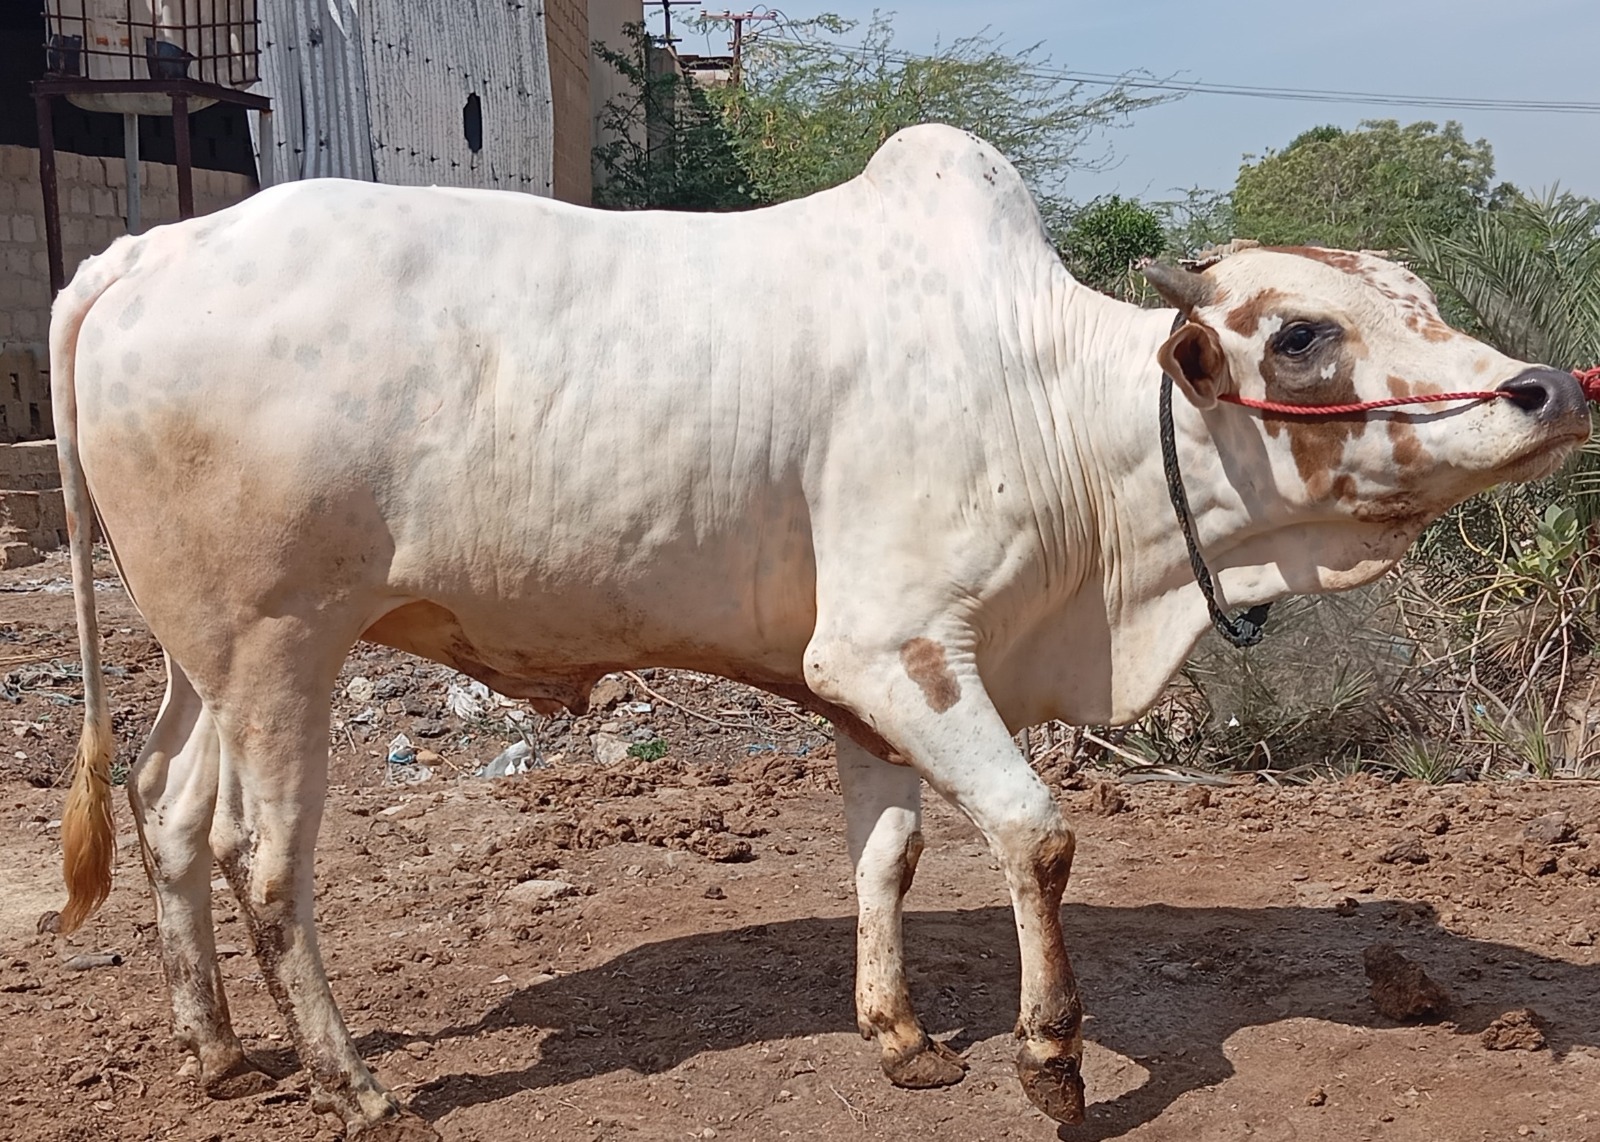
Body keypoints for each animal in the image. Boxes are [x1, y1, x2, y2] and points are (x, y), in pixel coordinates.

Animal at [50, 124, 1588, 1138]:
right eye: (1302, 335)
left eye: (1417, 296)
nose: (1547, 387)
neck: (1051, 404)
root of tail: (141, 249)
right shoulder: (894, 649)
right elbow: (1035, 831)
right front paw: (1049, 1055)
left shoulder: (870, 679)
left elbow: (890, 854)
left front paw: (901, 1035)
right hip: (282, 644)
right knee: (262, 861)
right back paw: (353, 1083)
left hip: (200, 651)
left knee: (167, 810)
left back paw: (217, 1052)